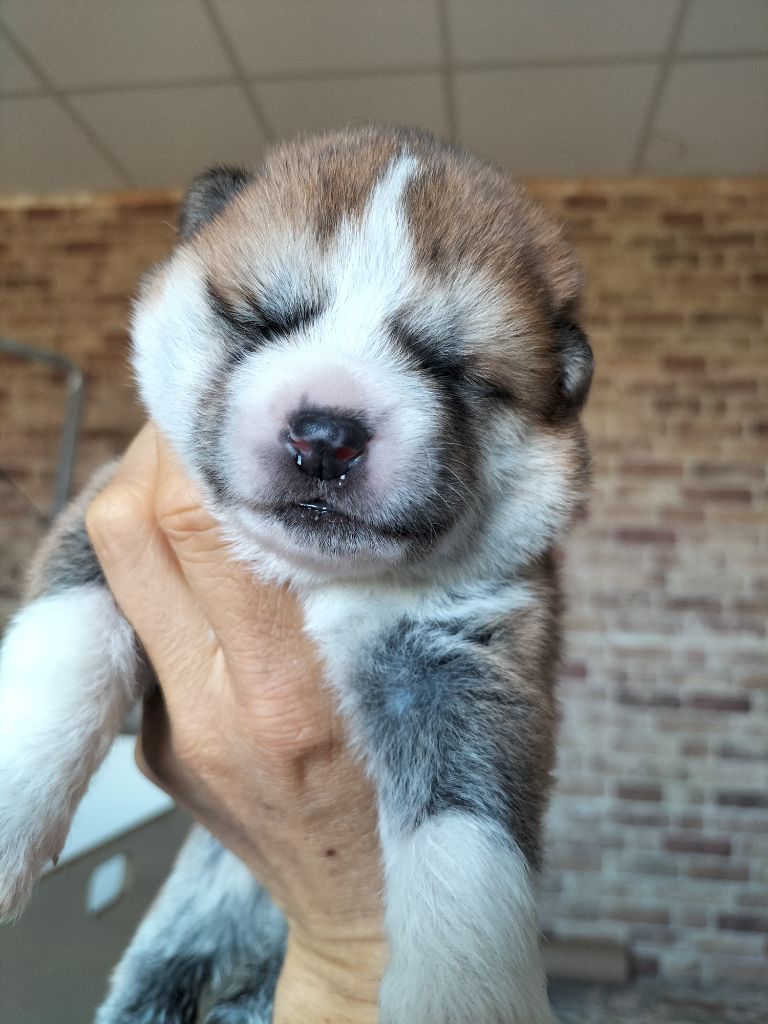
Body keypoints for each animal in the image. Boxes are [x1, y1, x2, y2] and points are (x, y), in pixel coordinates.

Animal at [0, 126, 592, 1023]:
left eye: (450, 367)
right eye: (262, 319)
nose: (326, 435)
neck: (312, 580)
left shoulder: (464, 657)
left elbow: (467, 843)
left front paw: (463, 990)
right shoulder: (97, 528)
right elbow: (57, 662)